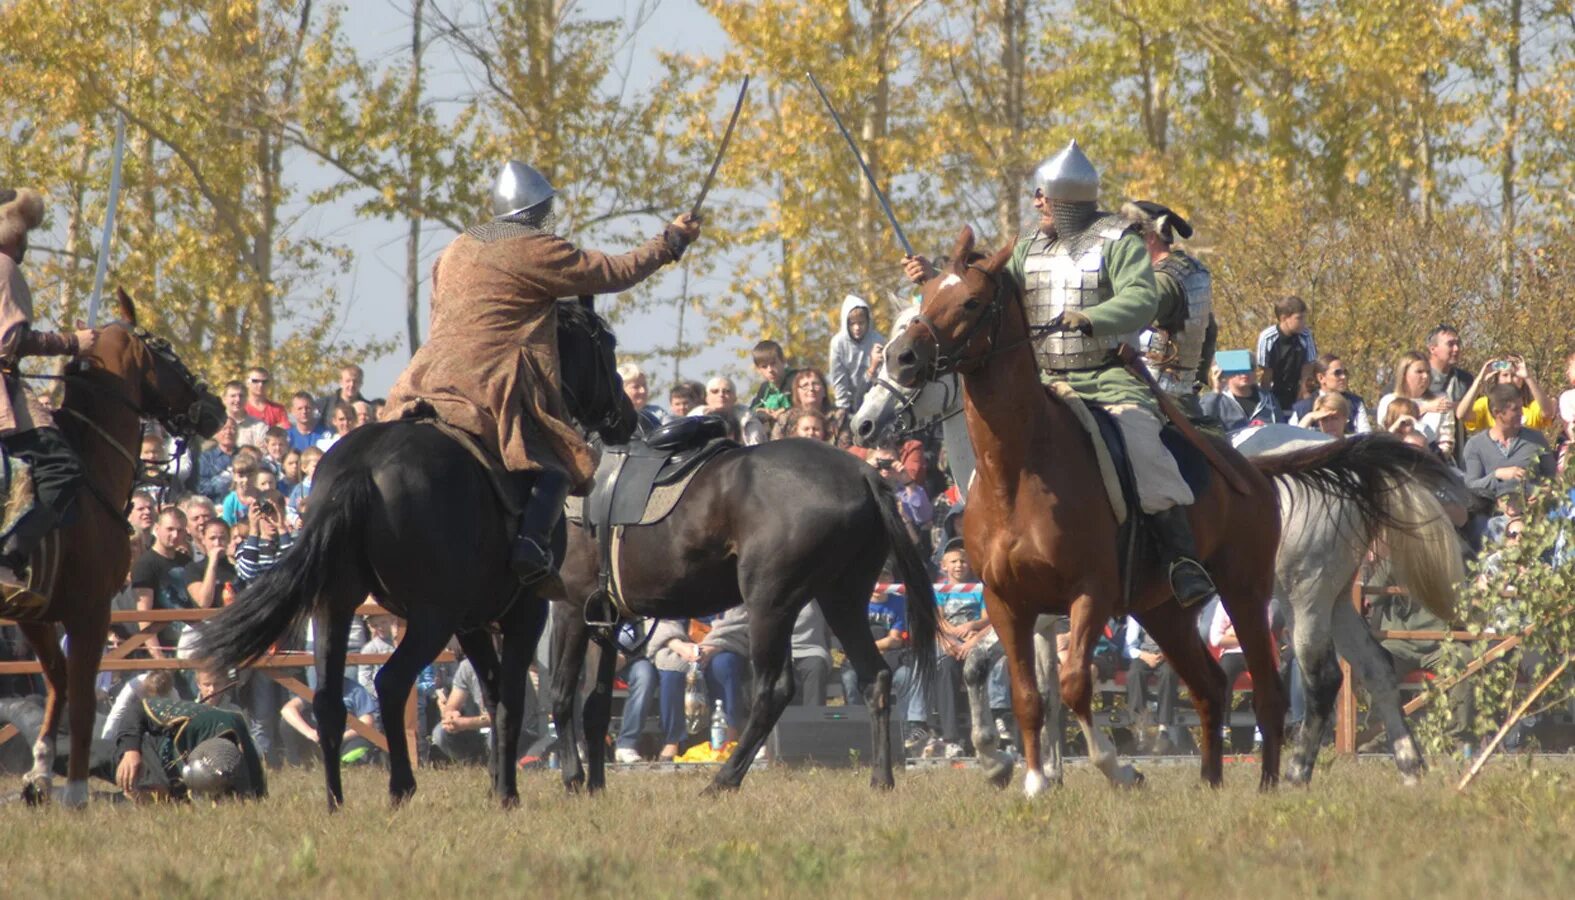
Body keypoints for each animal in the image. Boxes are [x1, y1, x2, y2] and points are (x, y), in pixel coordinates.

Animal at [8, 291, 225, 807]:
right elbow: (84, 696)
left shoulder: (36, 614)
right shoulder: (90, 612)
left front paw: (40, 774)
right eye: (167, 352)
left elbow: (58, 682)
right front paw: (76, 791)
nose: (215, 407)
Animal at [200, 301, 636, 807]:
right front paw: (507, 792)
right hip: (431, 619)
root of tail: (360, 468)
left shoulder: (471, 623)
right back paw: (401, 785)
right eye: (606, 345)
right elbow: (510, 699)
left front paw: (496, 781)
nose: (627, 417)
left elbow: (491, 696)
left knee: (328, 700)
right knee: (390, 683)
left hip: (336, 606)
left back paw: (335, 800)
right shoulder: (525, 612)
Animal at [554, 441, 938, 800]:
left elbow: (562, 692)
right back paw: (881, 779)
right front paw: (594, 785)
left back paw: (723, 779)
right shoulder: (604, 618)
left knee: (774, 690)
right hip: (841, 599)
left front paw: (573, 778)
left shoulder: (572, 609)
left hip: (769, 604)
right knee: (875, 677)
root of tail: (861, 473)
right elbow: (595, 703)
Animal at [863, 305, 1461, 784]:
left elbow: (991, 667)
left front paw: (1011, 761)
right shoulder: (1039, 612)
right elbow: (1036, 684)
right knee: (1375, 668)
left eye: (910, 358)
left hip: (1303, 596)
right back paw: (1409, 769)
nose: (865, 423)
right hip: (1333, 595)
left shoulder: (1059, 605)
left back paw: (1294, 773)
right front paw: (1043, 770)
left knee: (1319, 678)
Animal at [888, 228, 1291, 791]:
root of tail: (1252, 471)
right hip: (1162, 609)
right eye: (925, 297)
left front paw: (1115, 767)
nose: (900, 359)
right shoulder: (1007, 603)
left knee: (1269, 691)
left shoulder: (1088, 594)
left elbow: (1073, 684)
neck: (1016, 471)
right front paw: (1033, 779)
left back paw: (1270, 784)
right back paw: (1209, 783)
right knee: (1210, 686)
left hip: (1245, 592)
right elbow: (1026, 695)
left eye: (969, 302)